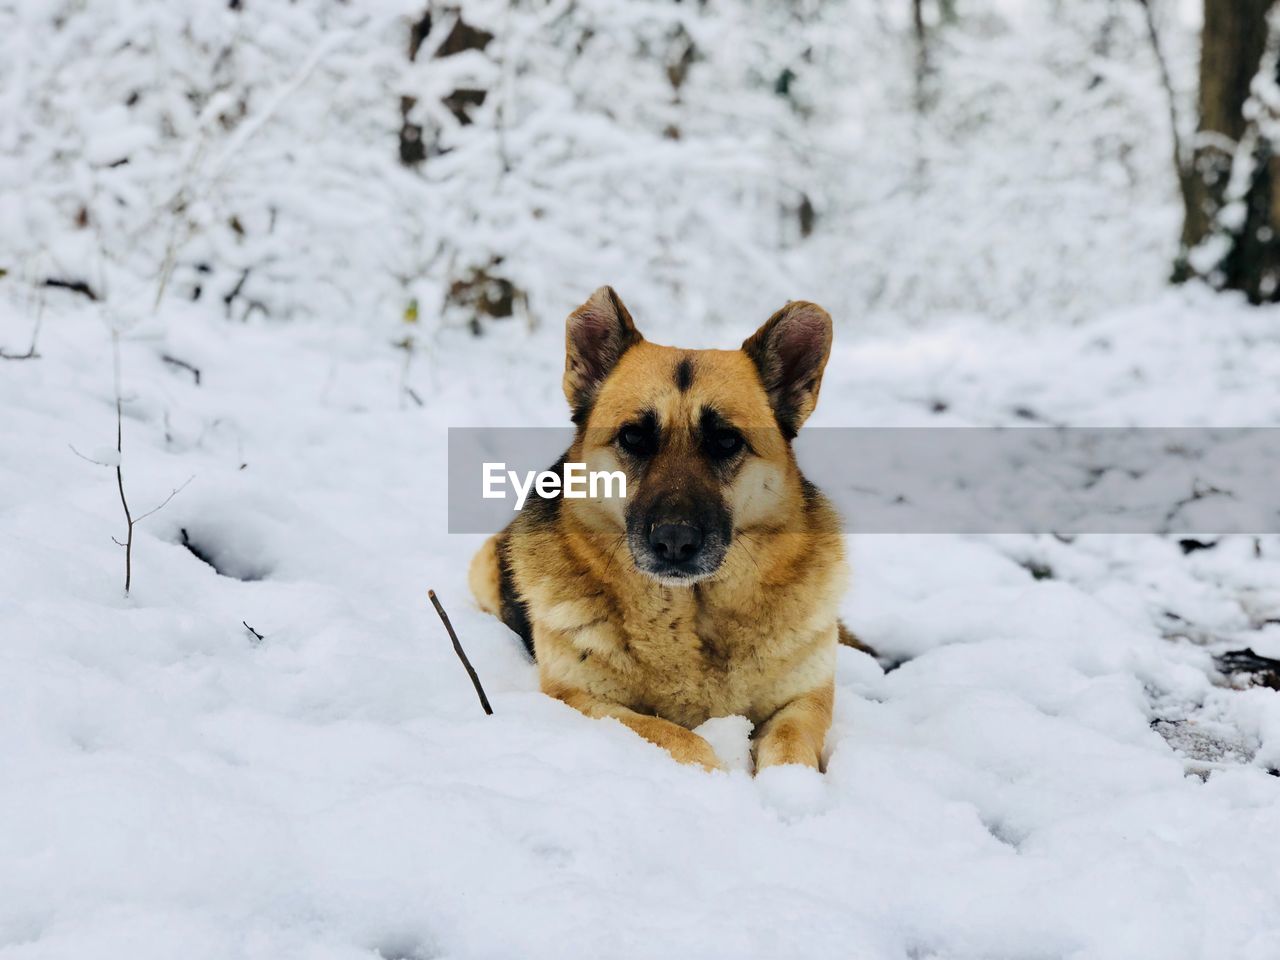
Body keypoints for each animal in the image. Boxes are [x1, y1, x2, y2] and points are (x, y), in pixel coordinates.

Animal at [471, 285, 849, 773]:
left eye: (726, 441)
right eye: (633, 437)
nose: (674, 541)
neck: (691, 612)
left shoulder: (805, 701)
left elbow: (789, 750)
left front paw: (788, 787)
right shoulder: (584, 701)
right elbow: (679, 738)